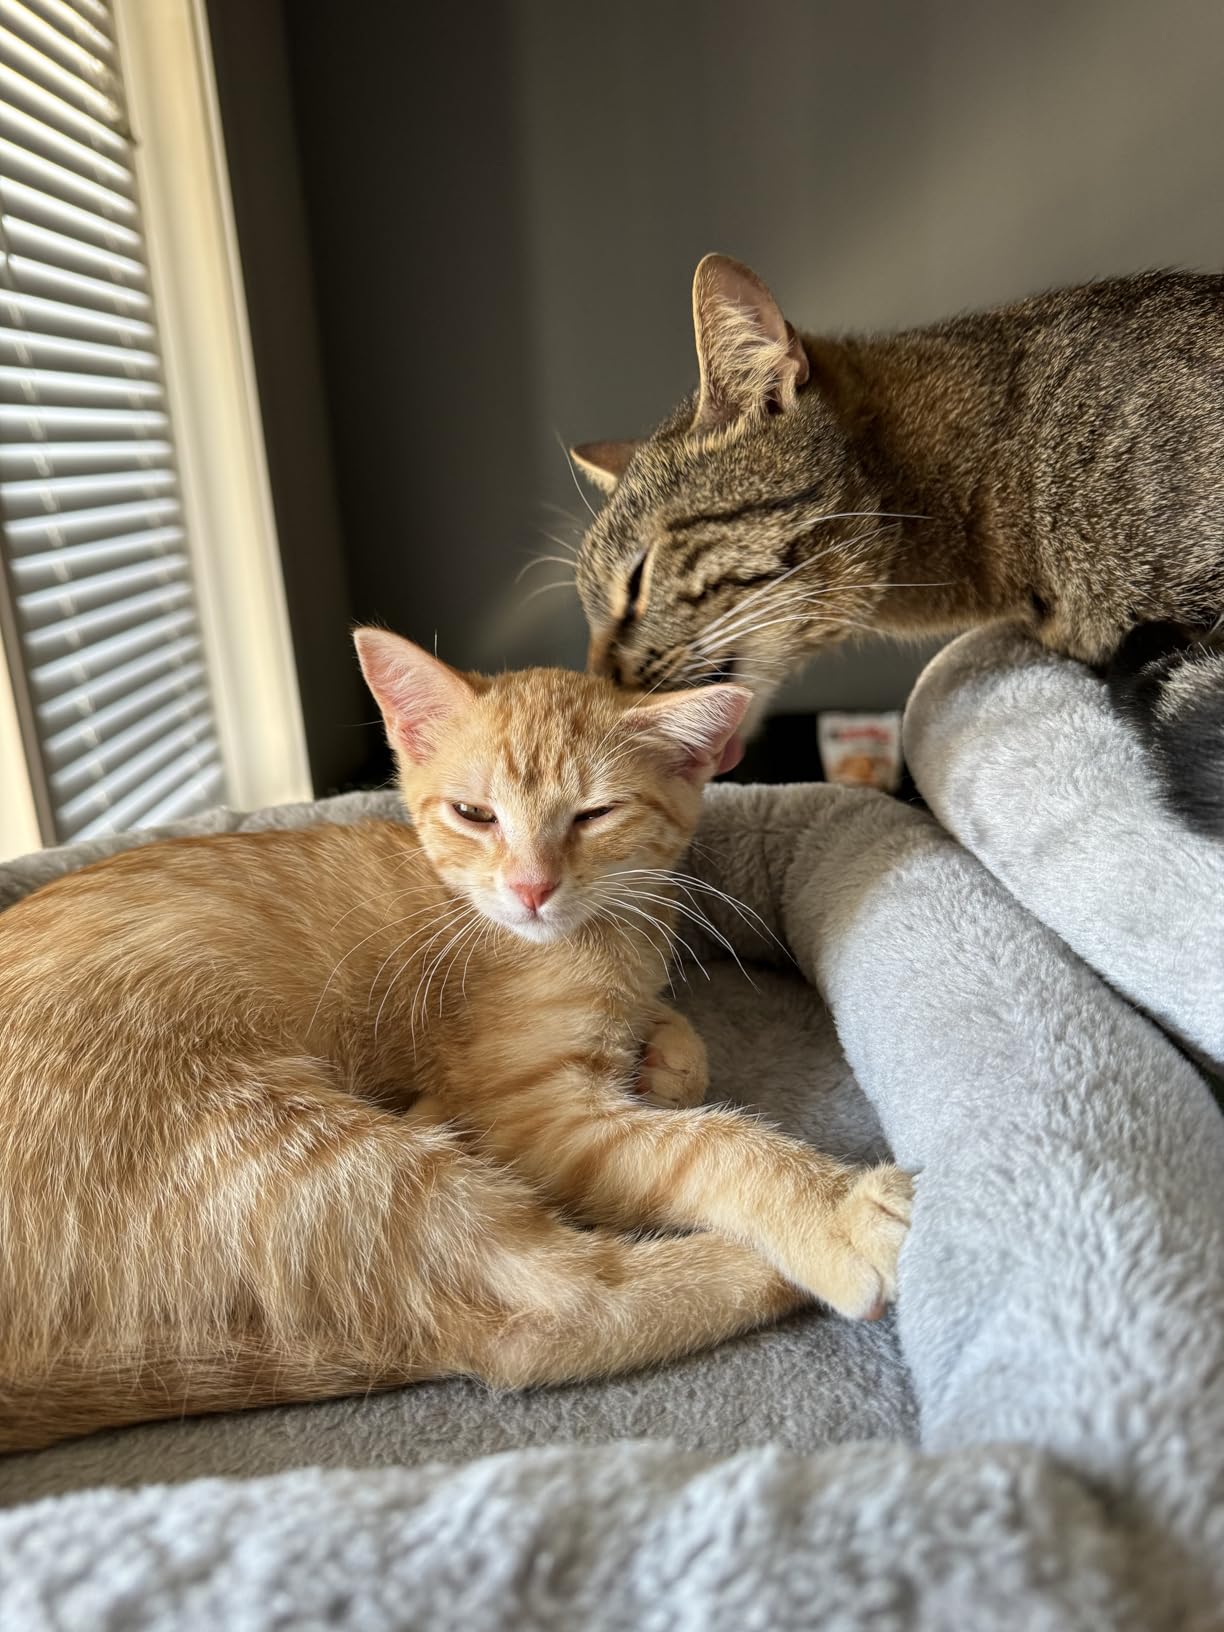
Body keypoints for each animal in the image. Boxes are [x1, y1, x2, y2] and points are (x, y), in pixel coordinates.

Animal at [0, 628, 911, 1452]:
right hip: (308, 1153)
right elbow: (705, 1144)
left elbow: (674, 1047)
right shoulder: (531, 1113)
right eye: (475, 814)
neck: (600, 937)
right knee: (548, 1314)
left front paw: (662, 1050)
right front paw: (831, 1208)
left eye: (595, 814)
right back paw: (764, 1266)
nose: (532, 888)